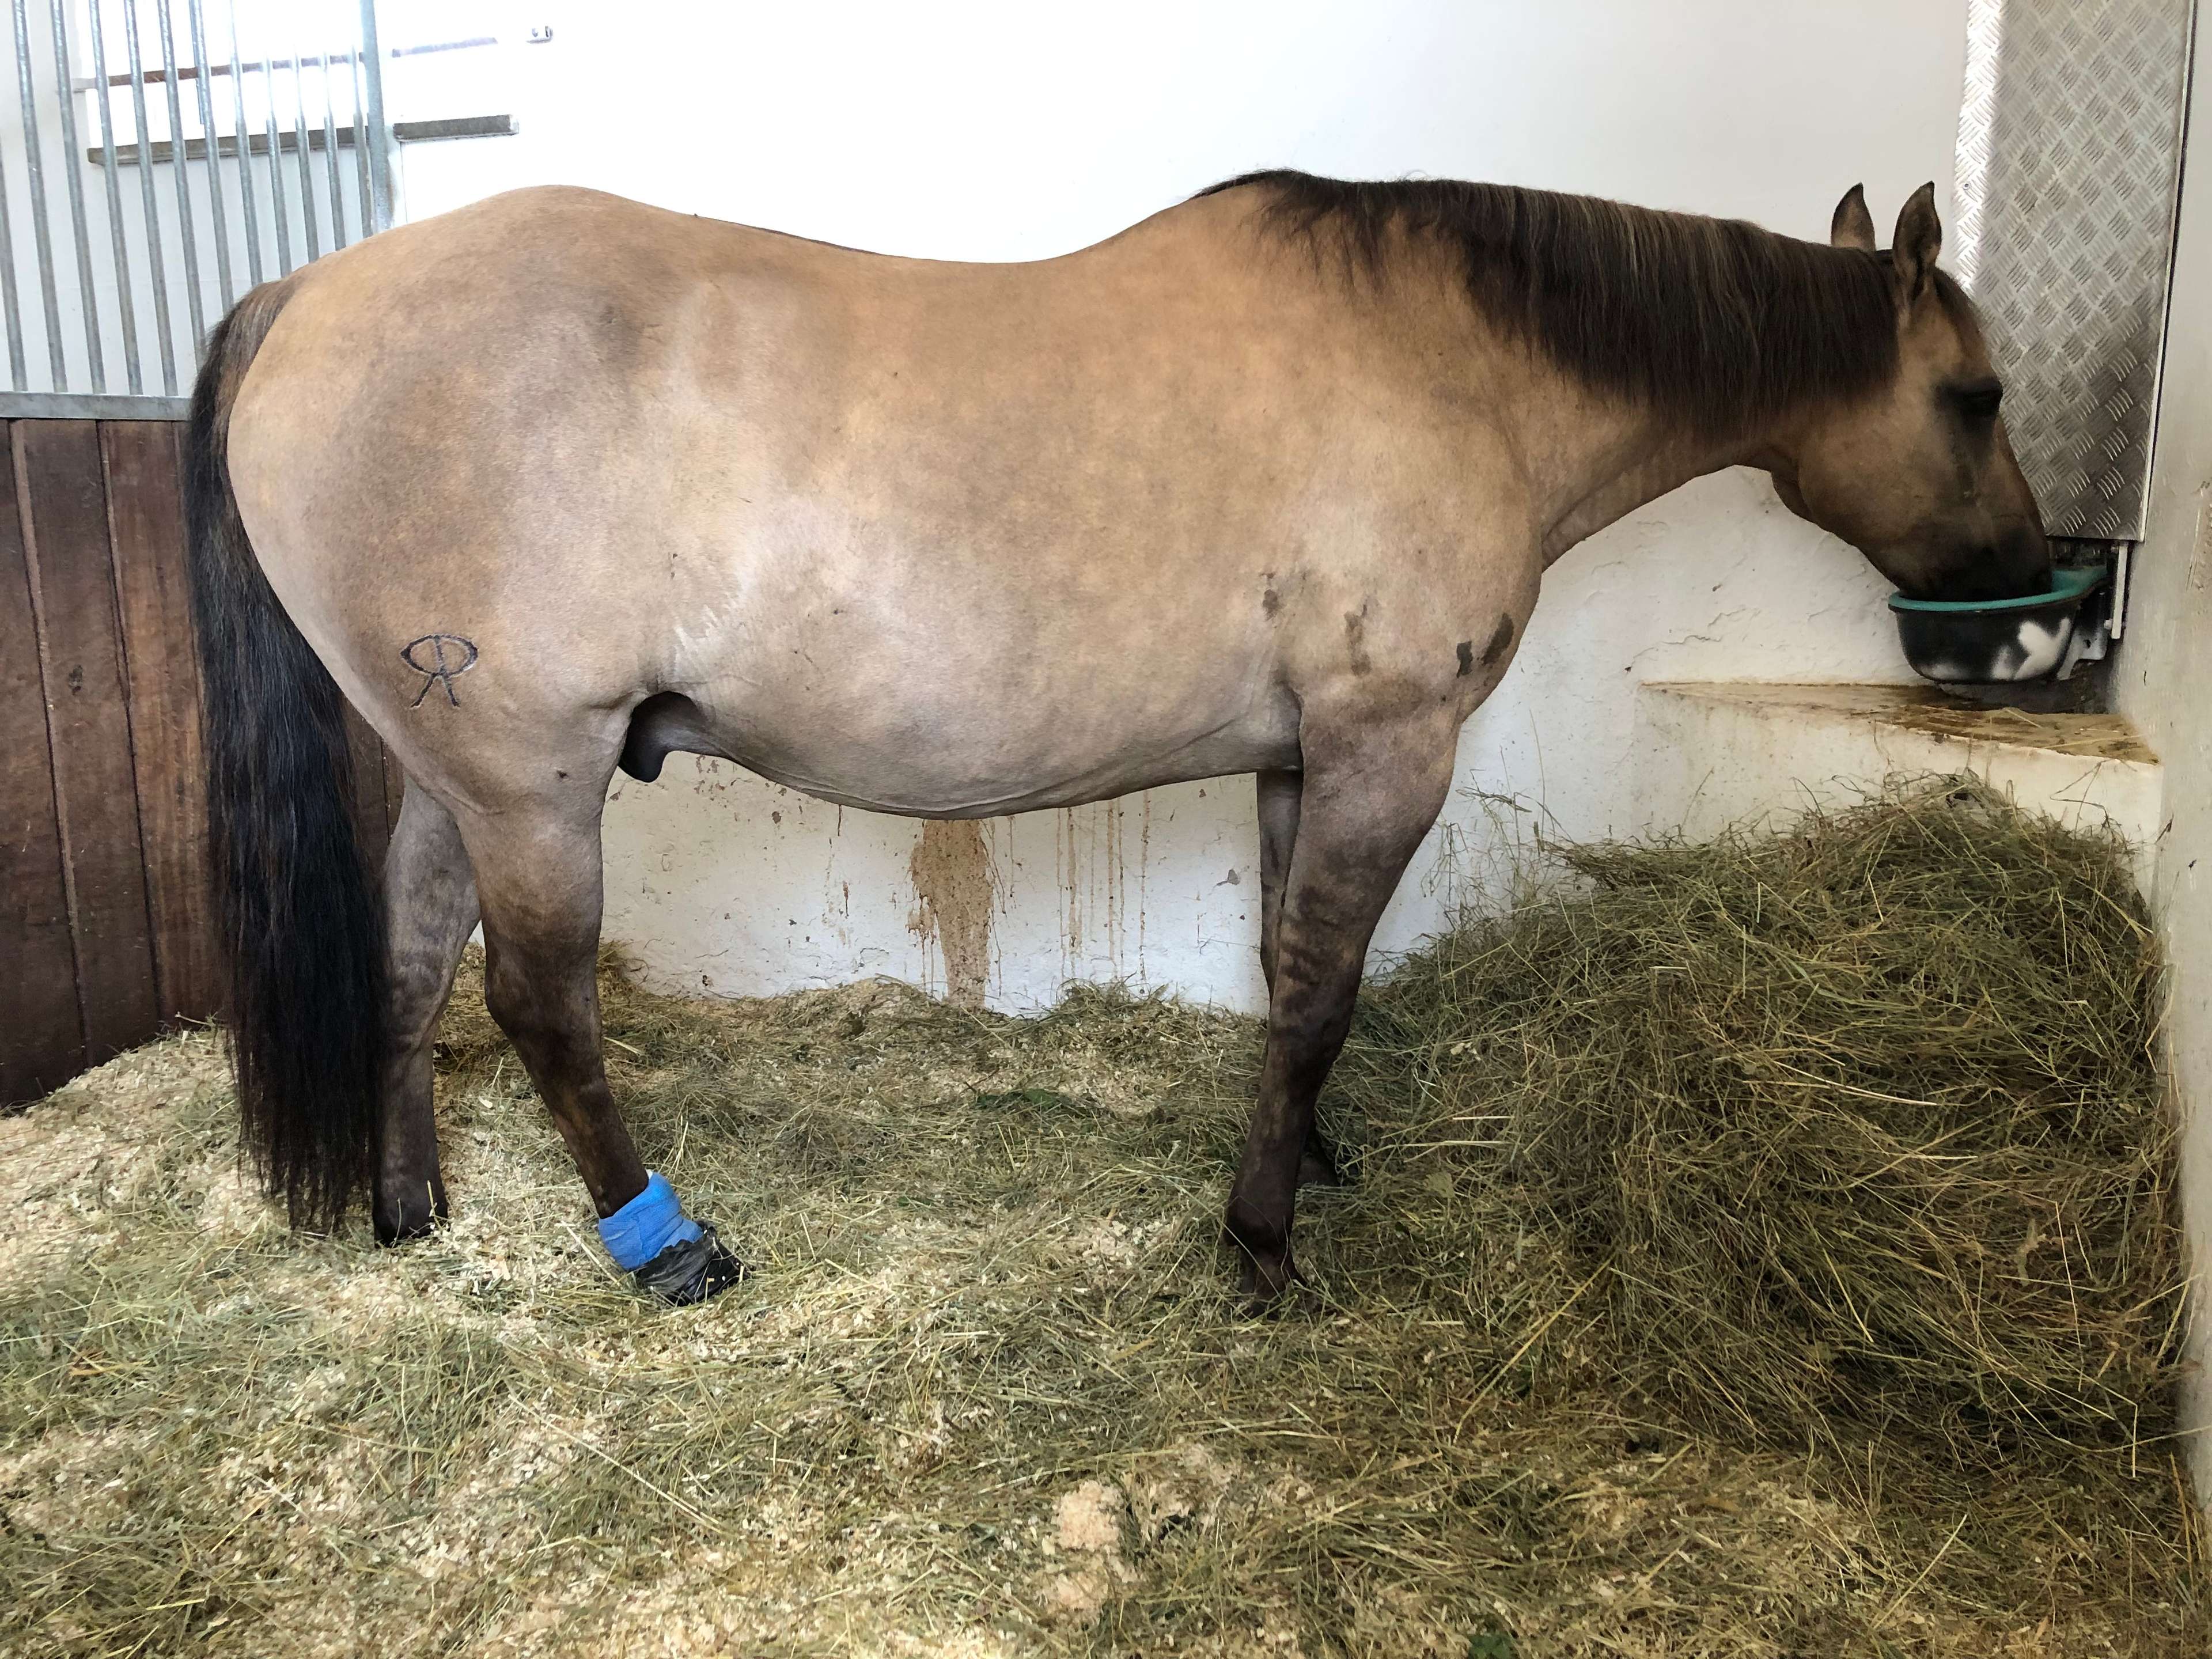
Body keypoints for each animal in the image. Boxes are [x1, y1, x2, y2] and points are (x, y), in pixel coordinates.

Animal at [186, 172, 2049, 1305]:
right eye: (1973, 398)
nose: (2027, 618)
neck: (1462, 367)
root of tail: (308, 293)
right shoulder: (1386, 747)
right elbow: (1319, 985)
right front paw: (1261, 1239)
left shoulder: (1302, 758)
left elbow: (1295, 970)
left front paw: (1305, 1155)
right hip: (536, 777)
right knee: (537, 1000)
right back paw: (664, 1244)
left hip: (464, 771)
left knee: (412, 960)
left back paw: (408, 1207)